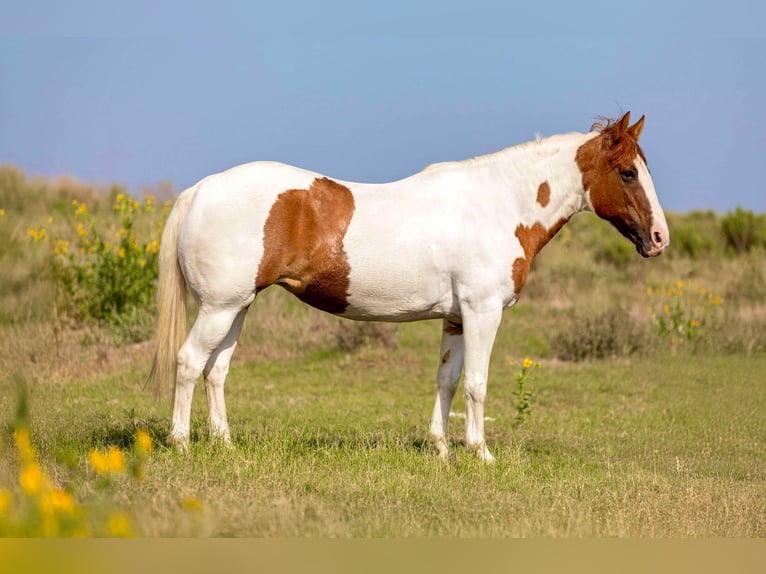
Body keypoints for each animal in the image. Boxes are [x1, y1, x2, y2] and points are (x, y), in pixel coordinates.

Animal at [146, 111, 669, 462]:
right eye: (627, 172)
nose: (659, 238)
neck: (498, 205)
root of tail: (201, 189)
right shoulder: (482, 312)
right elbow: (477, 384)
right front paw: (481, 454)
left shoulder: (456, 318)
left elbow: (448, 380)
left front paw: (441, 449)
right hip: (218, 308)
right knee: (189, 363)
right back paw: (181, 443)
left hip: (237, 307)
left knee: (216, 371)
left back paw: (225, 444)